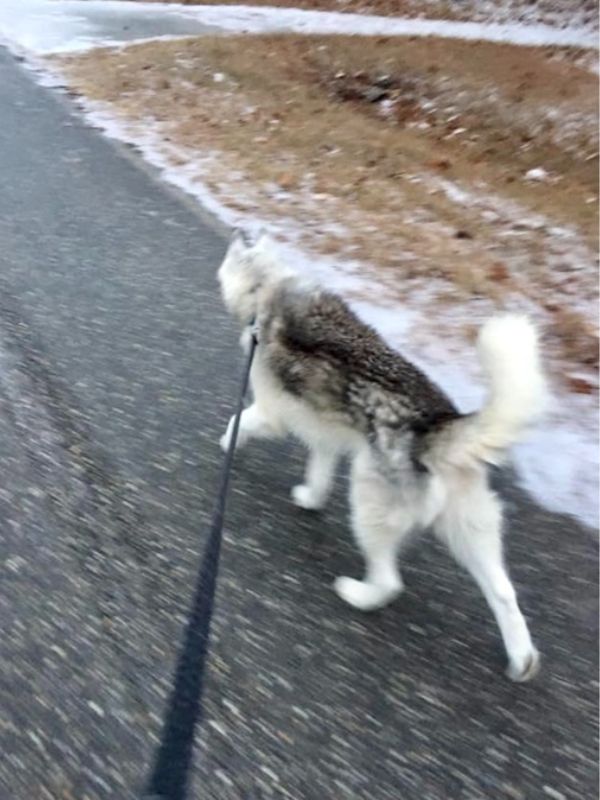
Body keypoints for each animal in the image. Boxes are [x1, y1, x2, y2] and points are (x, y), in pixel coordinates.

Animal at [218, 230, 548, 680]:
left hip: (369, 504)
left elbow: (240, 421)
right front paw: (310, 497)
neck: (268, 286)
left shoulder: (271, 412)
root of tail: (438, 426)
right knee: (503, 592)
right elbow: (320, 469)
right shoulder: (323, 433)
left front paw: (226, 443)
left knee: (389, 581)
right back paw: (522, 659)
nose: (242, 229)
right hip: (472, 528)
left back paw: (356, 594)